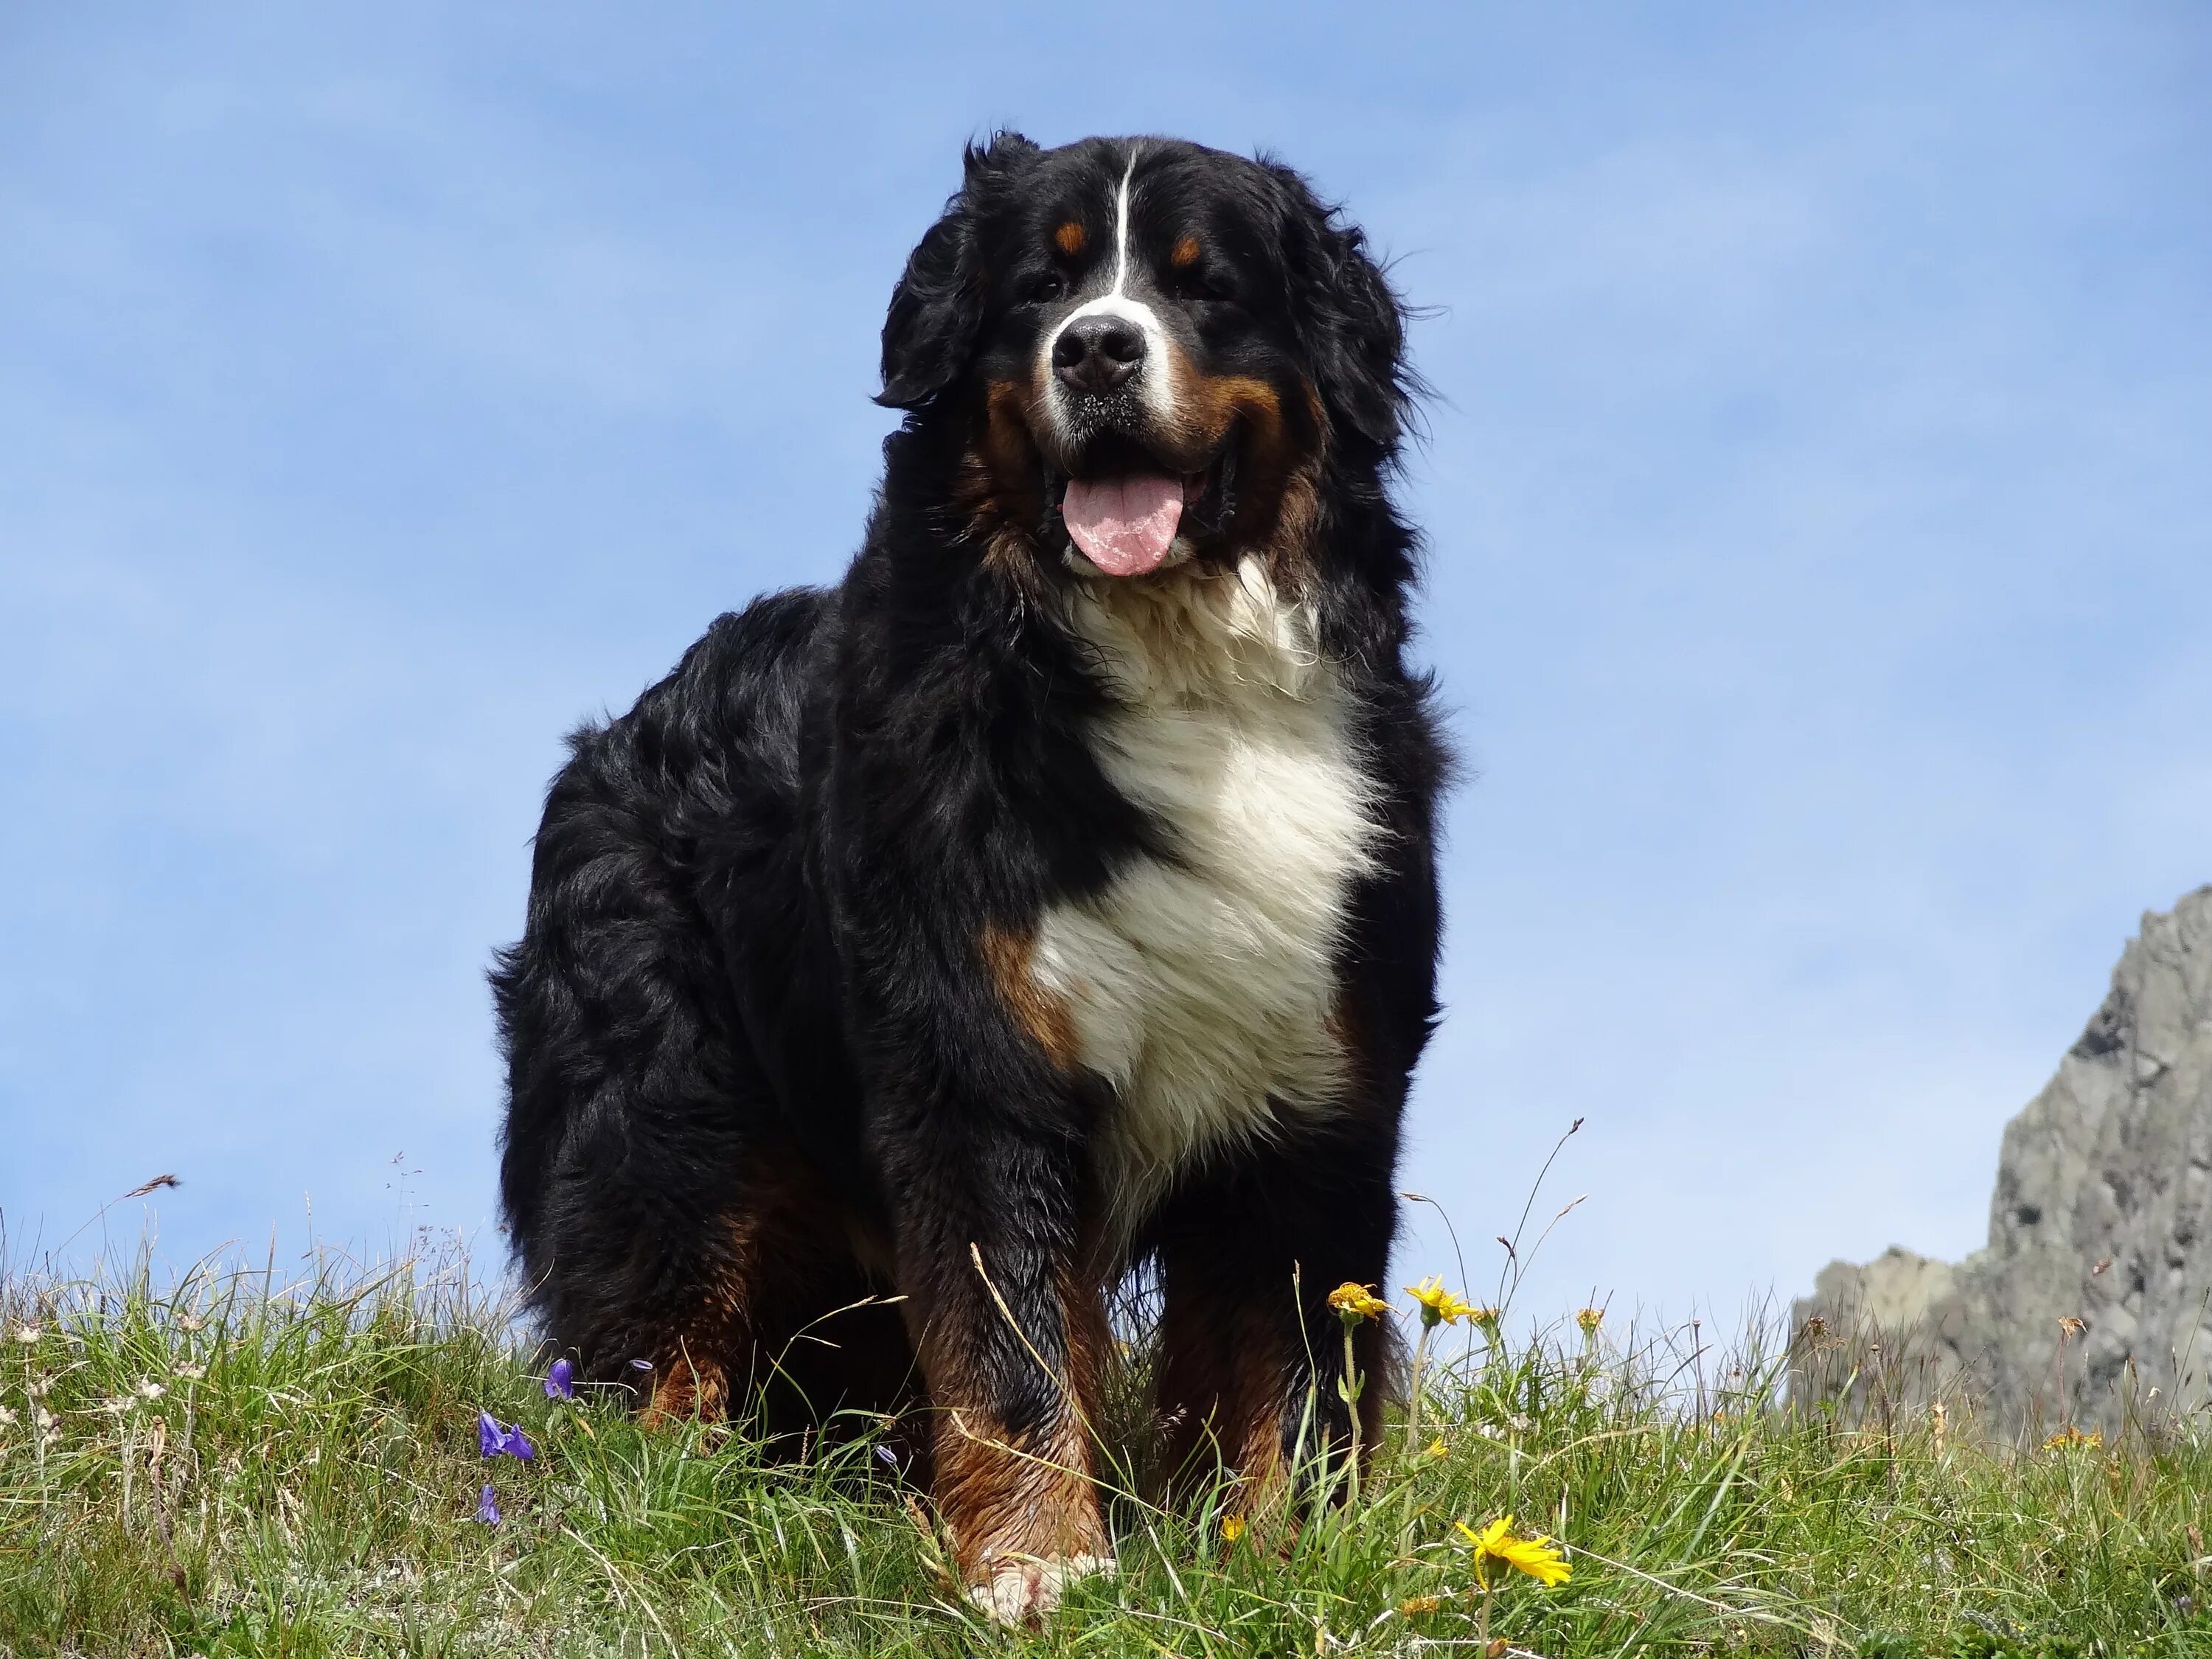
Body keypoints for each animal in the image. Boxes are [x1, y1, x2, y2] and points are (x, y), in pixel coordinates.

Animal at [491, 133, 1442, 1628]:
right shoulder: (976, 1061)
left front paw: (1285, 1564)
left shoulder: (1320, 1098)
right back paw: (666, 1500)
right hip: (663, 1120)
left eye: (1208, 284)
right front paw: (1039, 1563)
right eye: (1040, 286)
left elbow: (1290, 1375)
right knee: (656, 1323)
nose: (1097, 349)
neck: (1180, 673)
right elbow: (1010, 1349)